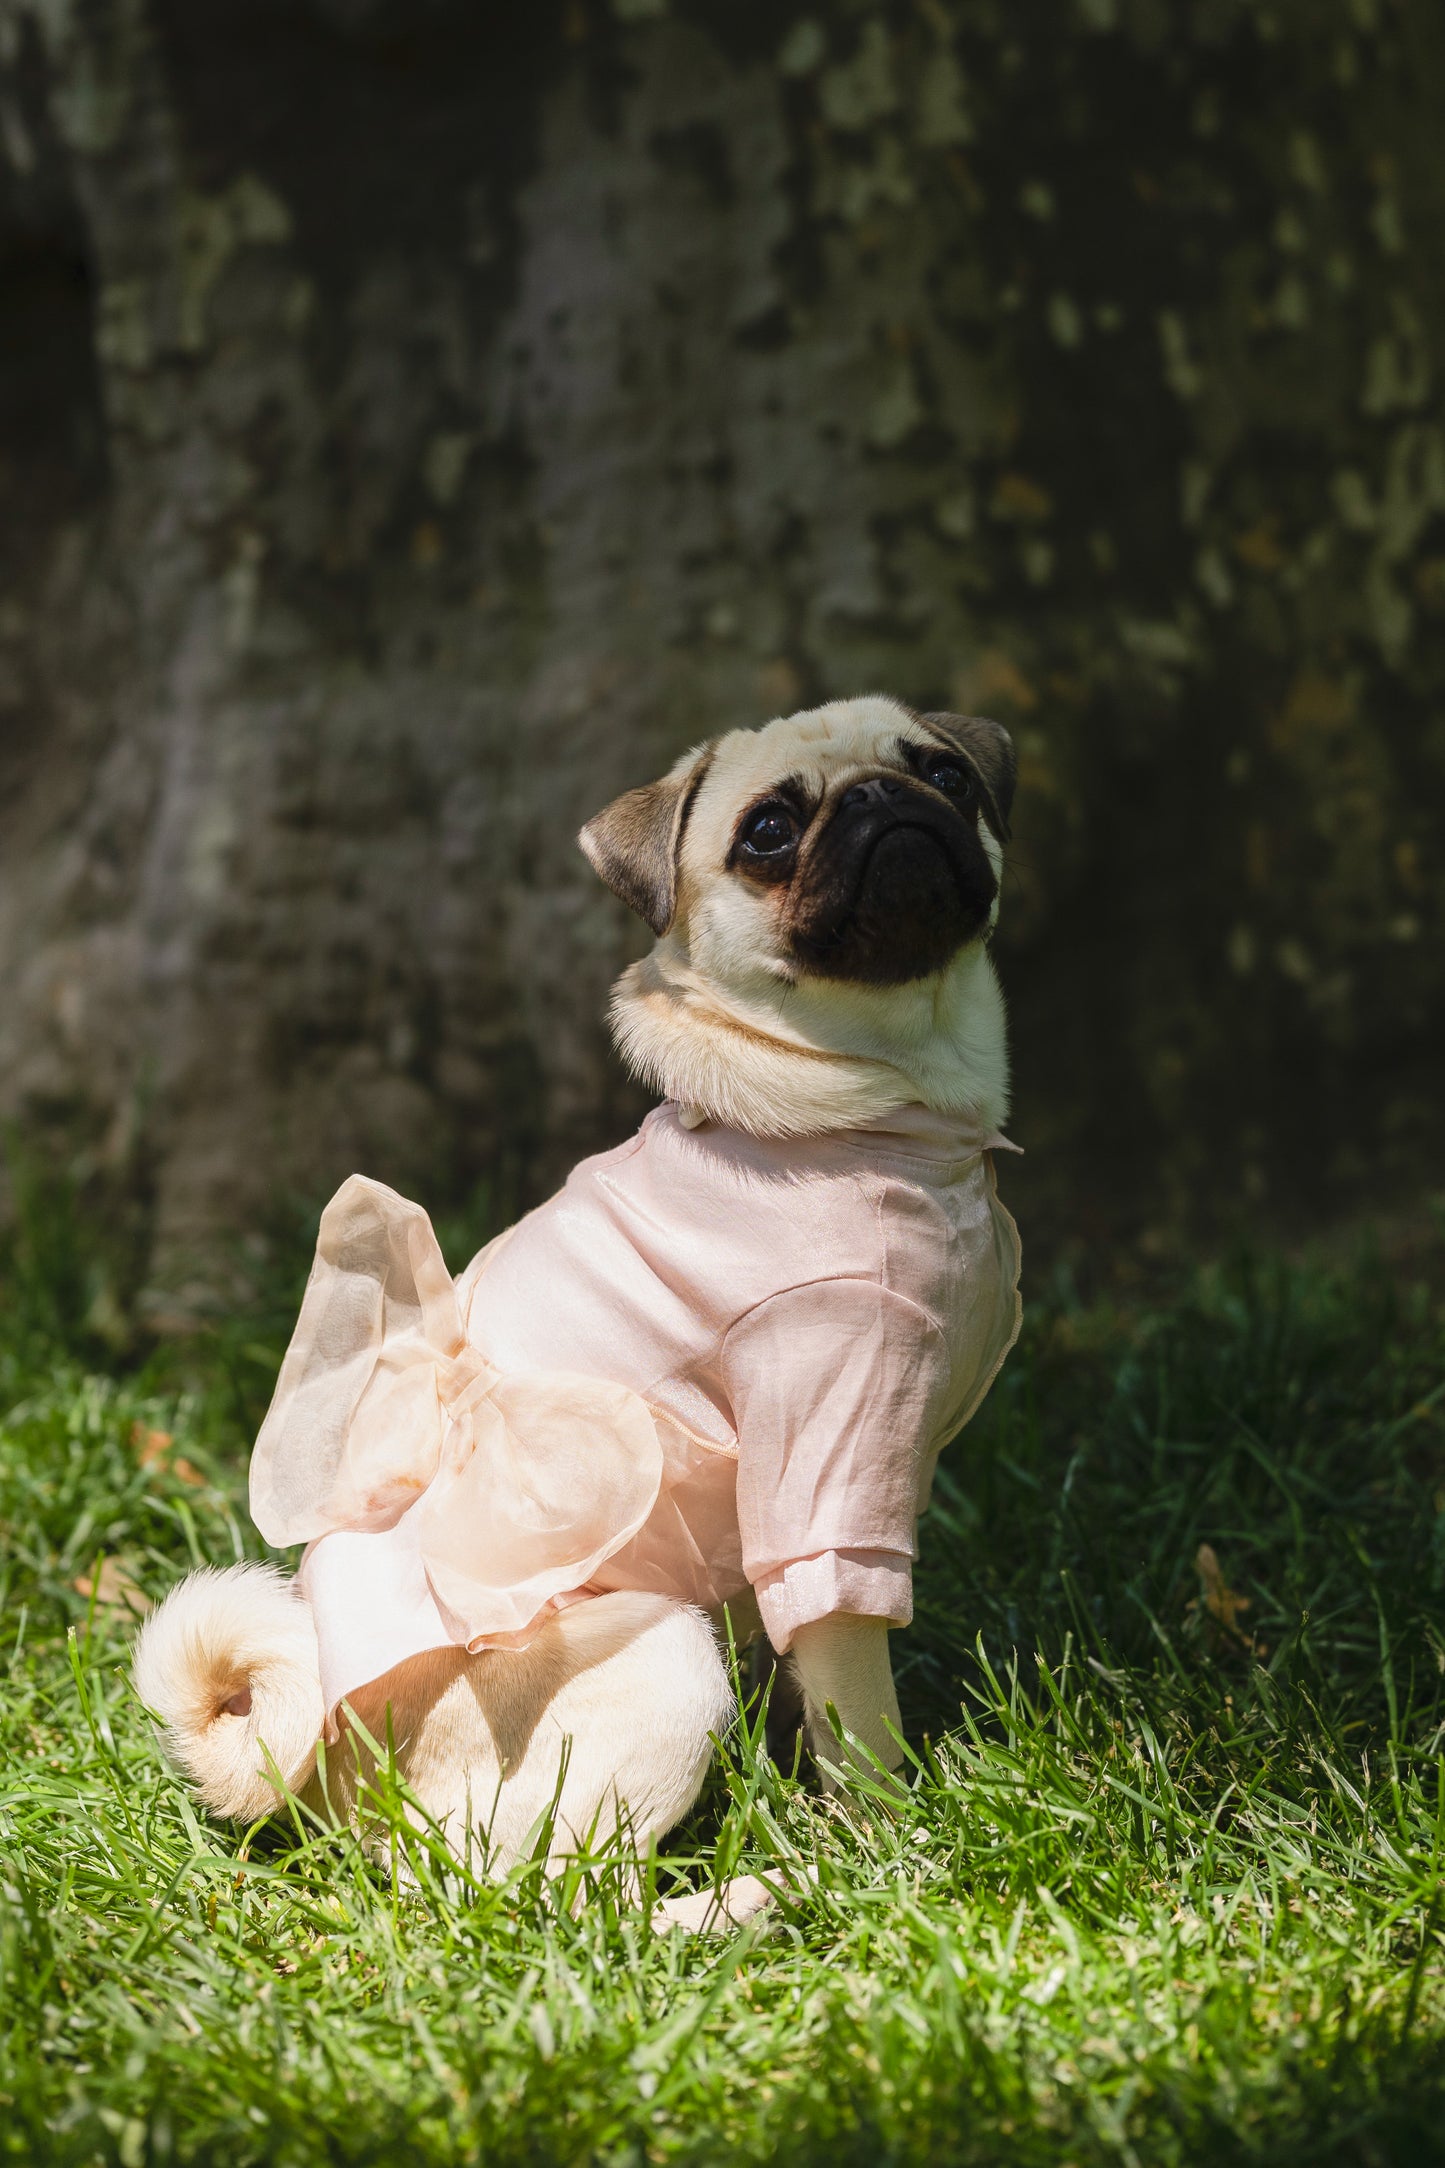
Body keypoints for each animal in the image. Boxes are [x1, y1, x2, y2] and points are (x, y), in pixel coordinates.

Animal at [132, 689, 1018, 1916]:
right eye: (767, 832)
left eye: (943, 773)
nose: (881, 800)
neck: (874, 1103)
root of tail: (333, 1777)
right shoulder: (828, 1463)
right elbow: (861, 1708)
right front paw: (892, 1850)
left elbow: (810, 1681)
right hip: (667, 1658)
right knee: (571, 1902)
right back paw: (758, 1900)